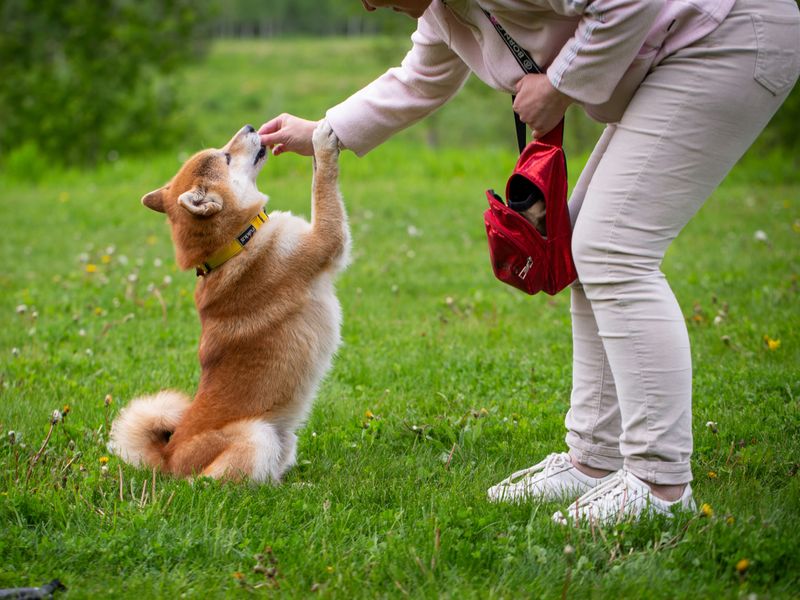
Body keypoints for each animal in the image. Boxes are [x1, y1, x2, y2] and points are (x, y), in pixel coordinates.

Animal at [108, 122, 350, 482]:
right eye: (225, 156)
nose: (250, 127)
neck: (237, 243)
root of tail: (168, 459)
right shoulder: (326, 240)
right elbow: (322, 183)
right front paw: (321, 141)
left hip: (282, 440)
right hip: (257, 435)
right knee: (218, 483)